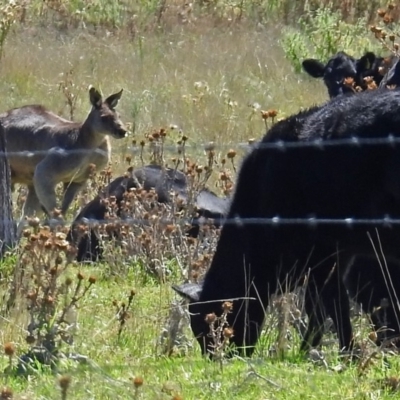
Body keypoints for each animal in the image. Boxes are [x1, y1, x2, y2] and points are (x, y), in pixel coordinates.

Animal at [174, 89, 400, 358]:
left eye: (211, 324)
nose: (217, 358)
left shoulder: (324, 254)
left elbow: (331, 305)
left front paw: (345, 354)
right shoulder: (337, 255)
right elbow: (319, 308)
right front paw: (308, 352)